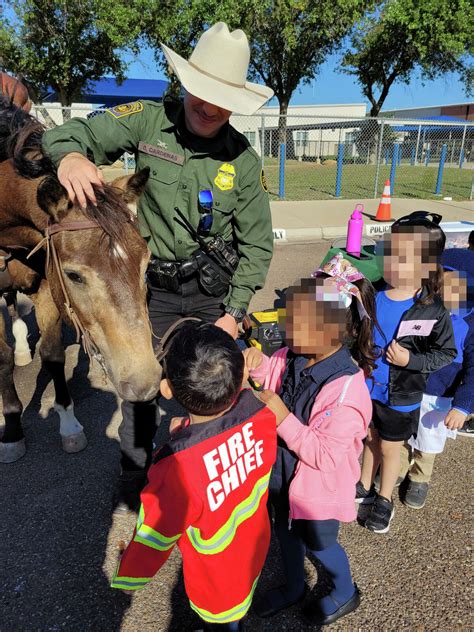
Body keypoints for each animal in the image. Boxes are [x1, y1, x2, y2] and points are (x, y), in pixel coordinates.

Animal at [0, 100, 161, 464]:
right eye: (74, 275)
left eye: (146, 267)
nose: (145, 381)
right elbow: (1, 359)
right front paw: (12, 429)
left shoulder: (47, 282)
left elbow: (53, 354)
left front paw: (69, 425)